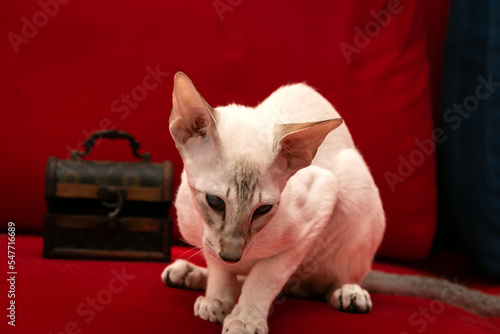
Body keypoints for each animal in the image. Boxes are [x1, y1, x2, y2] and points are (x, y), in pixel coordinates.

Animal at [163, 72, 500, 332]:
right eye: (215, 202)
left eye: (263, 210)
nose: (232, 254)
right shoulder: (207, 238)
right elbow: (220, 268)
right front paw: (218, 297)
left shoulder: (317, 208)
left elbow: (264, 277)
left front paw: (245, 319)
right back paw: (190, 274)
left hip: (354, 191)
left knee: (332, 279)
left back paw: (348, 293)